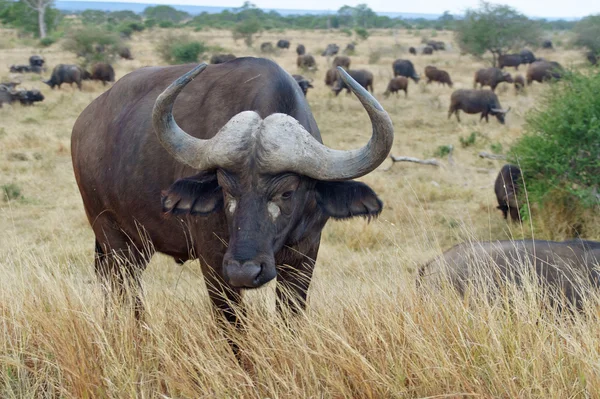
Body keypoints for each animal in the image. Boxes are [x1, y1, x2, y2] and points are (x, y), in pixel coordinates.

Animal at [70, 59, 394, 328]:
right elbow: (234, 328)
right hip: (112, 235)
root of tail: (85, 122)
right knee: (125, 291)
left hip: (139, 243)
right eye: (225, 188)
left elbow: (290, 318)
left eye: (288, 192)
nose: (244, 272)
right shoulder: (215, 264)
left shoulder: (305, 254)